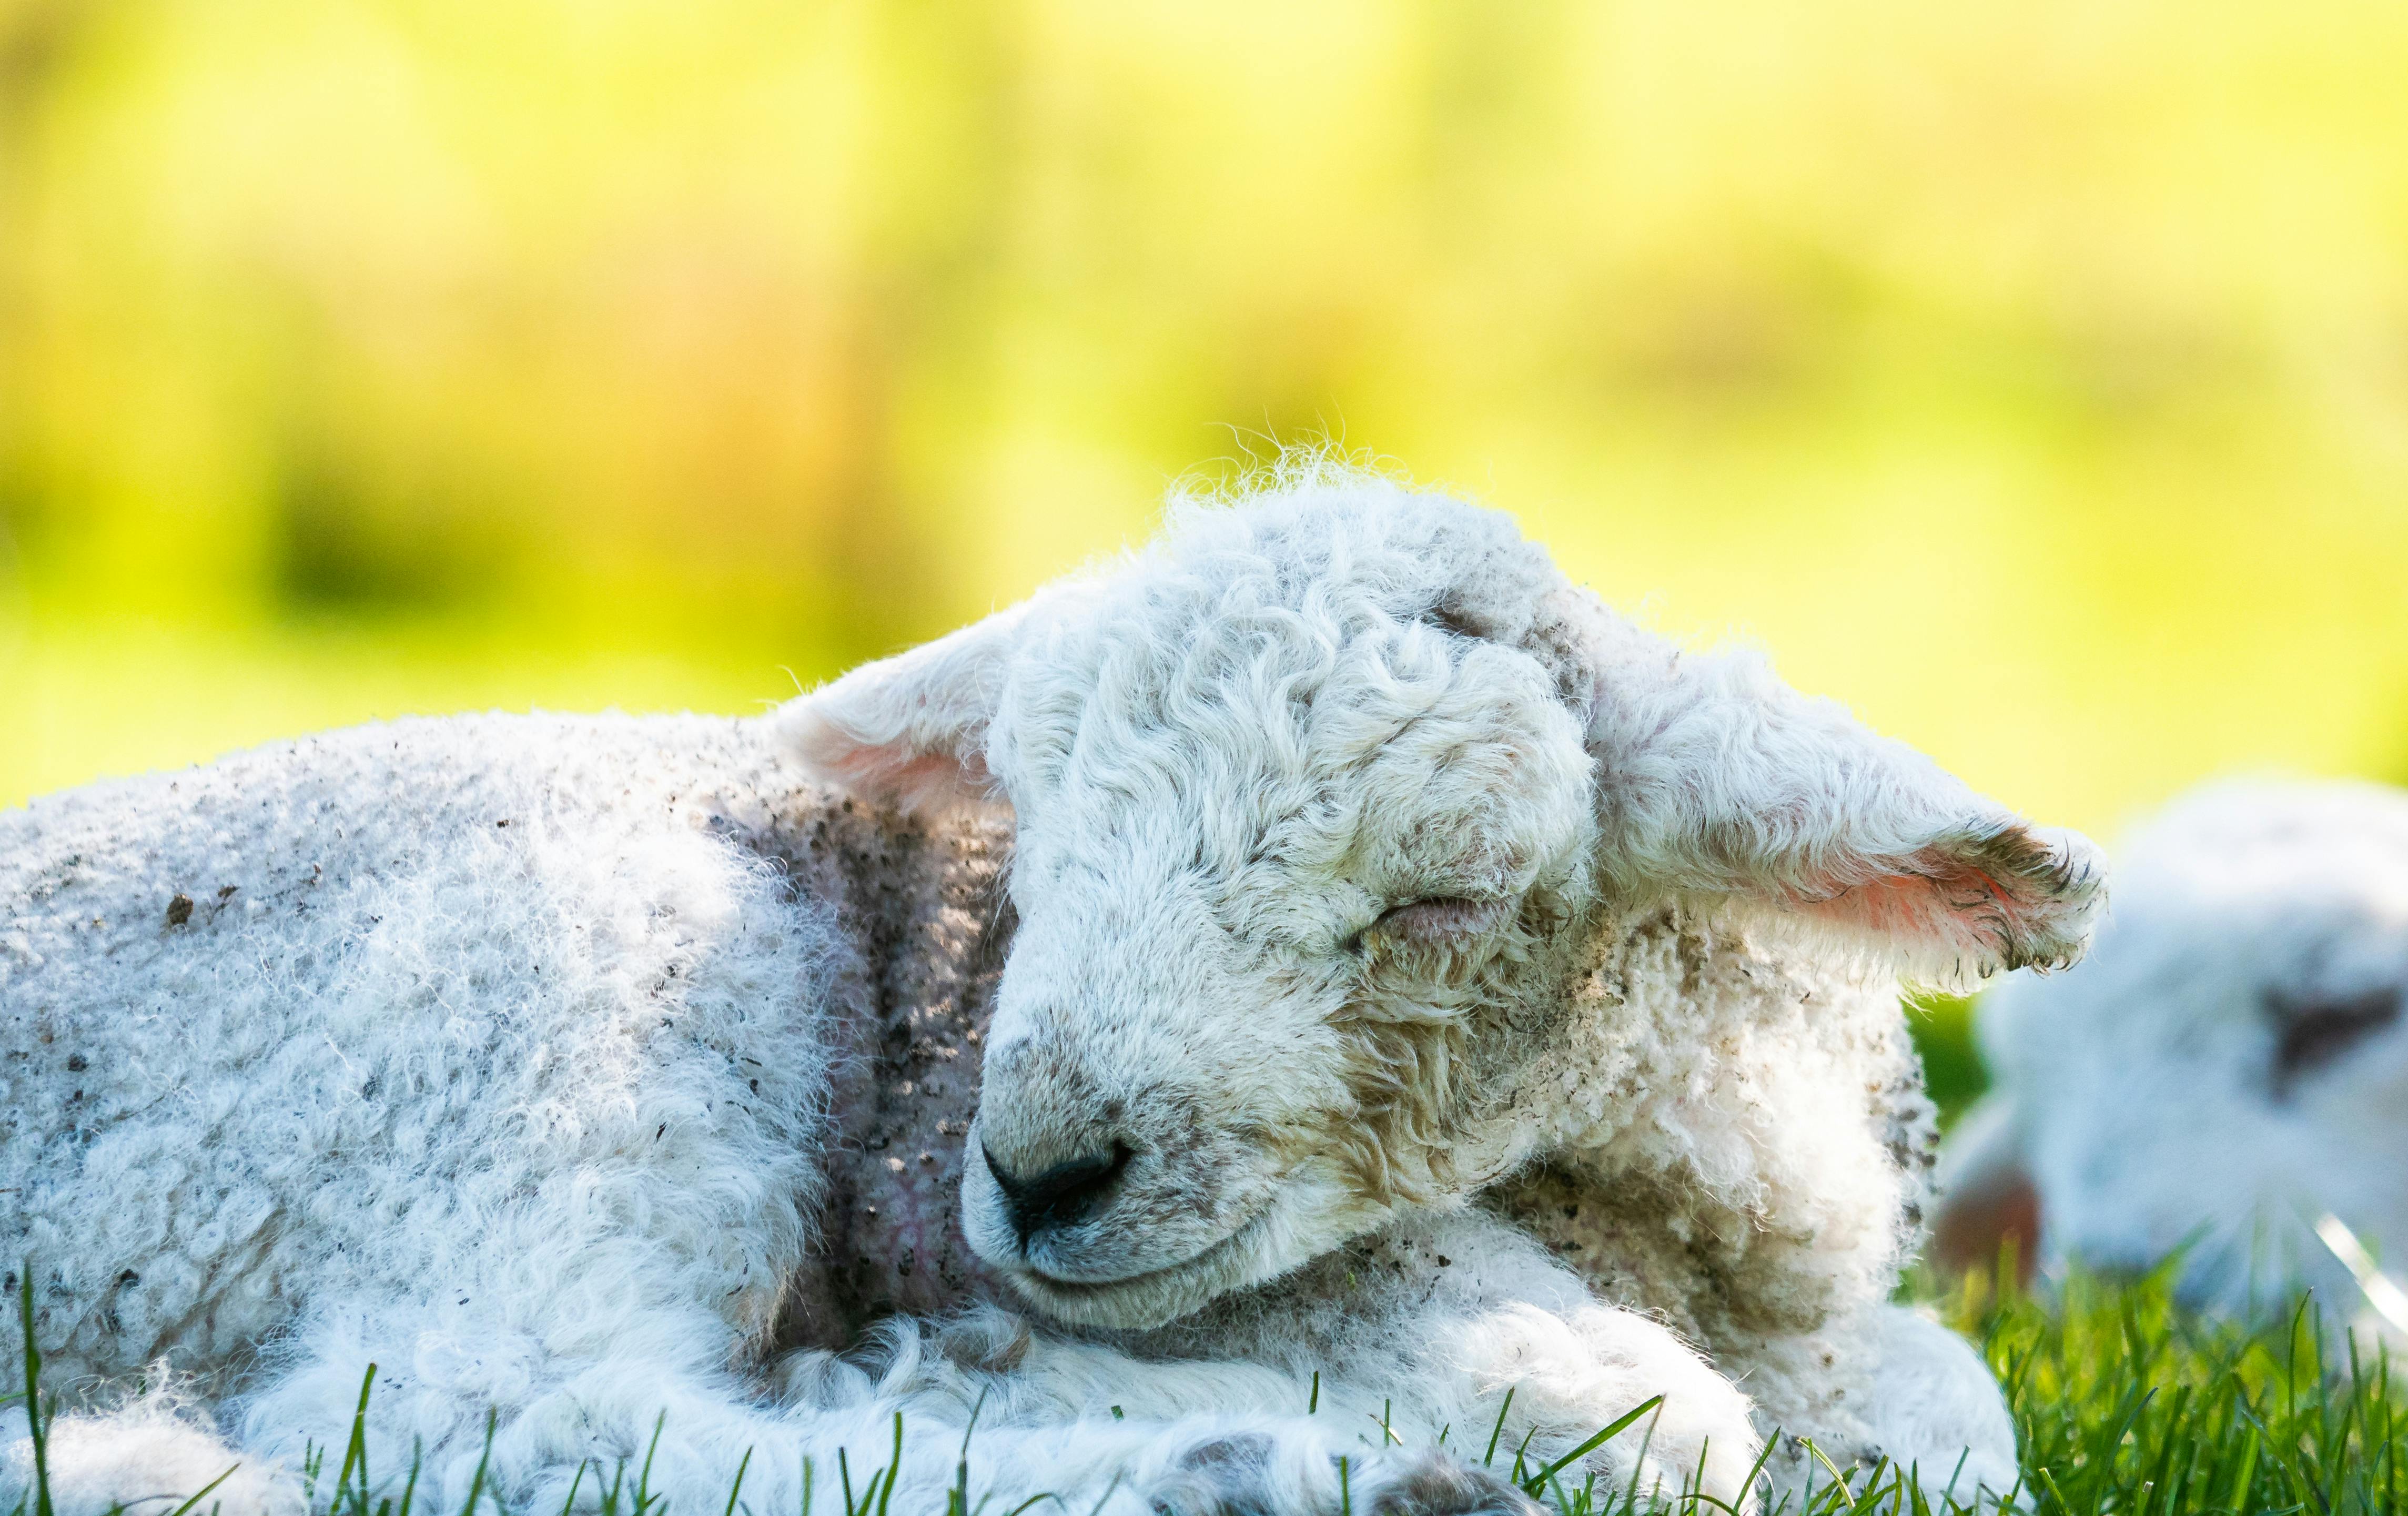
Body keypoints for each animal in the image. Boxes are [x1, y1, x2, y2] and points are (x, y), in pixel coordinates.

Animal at [0, 467, 2100, 1516]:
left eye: (1443, 901)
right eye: (1034, 843)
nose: (1033, 1176)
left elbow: (1955, 1422)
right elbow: (1642, 1417)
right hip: (567, 990)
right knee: (498, 1412)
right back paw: (1257, 1468)